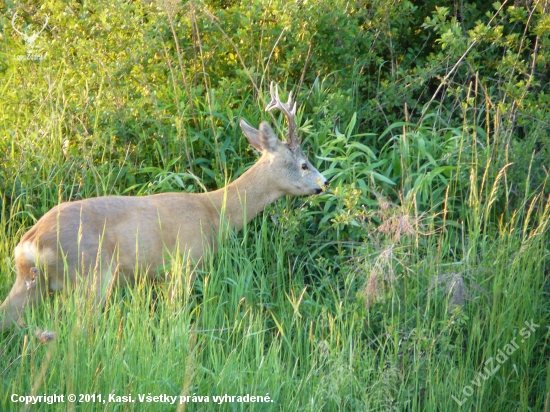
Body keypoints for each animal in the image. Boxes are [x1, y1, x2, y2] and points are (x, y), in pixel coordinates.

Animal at [0, 83, 328, 338]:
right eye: (303, 164)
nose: (324, 182)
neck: (215, 212)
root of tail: (31, 241)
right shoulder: (185, 265)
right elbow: (176, 318)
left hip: (31, 283)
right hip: (90, 276)